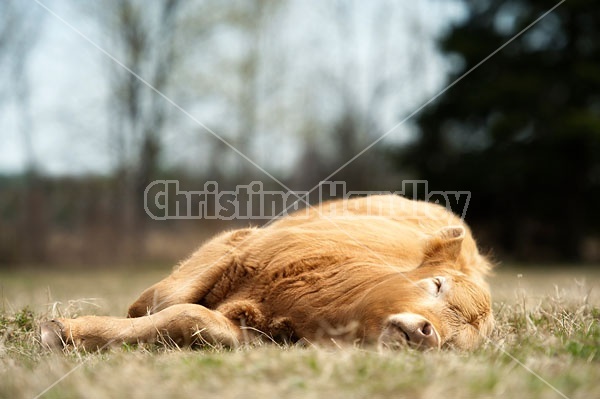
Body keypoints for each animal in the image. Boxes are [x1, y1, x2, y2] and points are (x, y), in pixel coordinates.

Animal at [41, 196, 492, 354]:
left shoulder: (250, 333)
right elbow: (168, 303)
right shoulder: (238, 250)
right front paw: (66, 330)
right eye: (436, 284)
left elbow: (190, 317)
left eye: (457, 344)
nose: (425, 334)